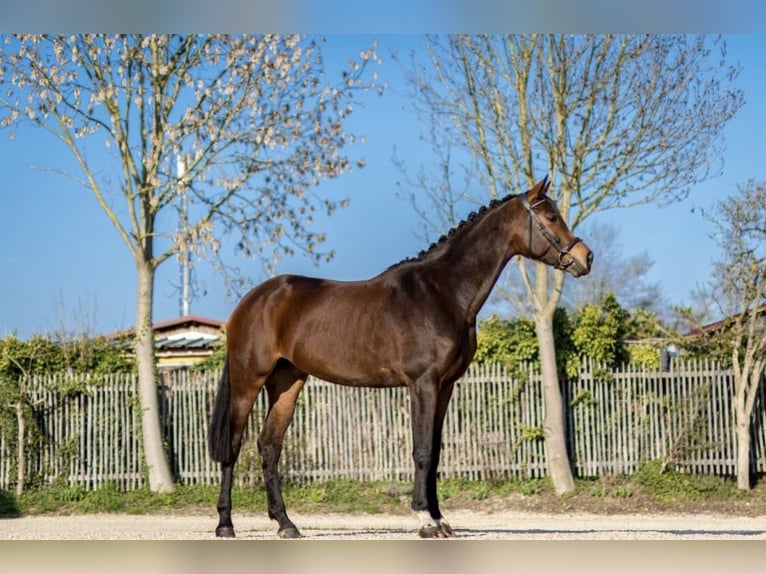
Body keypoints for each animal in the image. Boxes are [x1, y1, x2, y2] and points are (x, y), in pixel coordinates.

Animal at [207, 175, 593, 538]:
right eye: (551, 216)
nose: (585, 258)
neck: (443, 293)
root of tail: (251, 301)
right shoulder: (423, 384)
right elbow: (422, 450)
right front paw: (425, 520)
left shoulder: (445, 387)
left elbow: (435, 452)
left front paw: (440, 519)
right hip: (248, 380)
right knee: (234, 446)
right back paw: (225, 525)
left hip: (287, 382)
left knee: (269, 445)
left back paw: (286, 524)